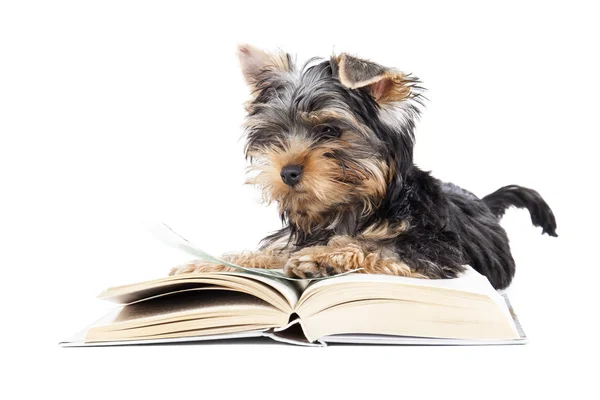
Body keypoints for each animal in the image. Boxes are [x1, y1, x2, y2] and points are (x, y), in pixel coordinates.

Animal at [170, 45, 556, 290]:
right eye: (276, 135)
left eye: (330, 131)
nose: (287, 172)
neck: (349, 207)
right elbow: (275, 251)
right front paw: (214, 264)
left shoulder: (434, 246)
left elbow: (378, 246)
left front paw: (323, 257)